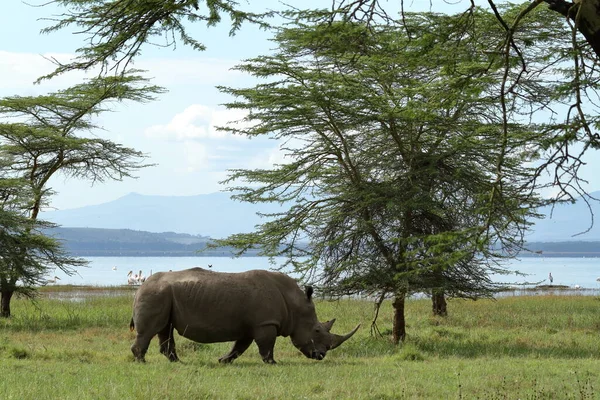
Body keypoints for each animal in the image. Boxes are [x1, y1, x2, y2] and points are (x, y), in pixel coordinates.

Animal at [129, 268, 358, 364]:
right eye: (317, 330)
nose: (321, 356)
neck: (295, 304)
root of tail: (139, 288)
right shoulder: (265, 323)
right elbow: (266, 346)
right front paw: (273, 363)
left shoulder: (252, 325)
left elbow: (239, 347)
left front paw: (223, 361)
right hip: (155, 294)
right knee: (150, 331)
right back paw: (142, 362)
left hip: (163, 296)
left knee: (165, 328)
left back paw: (177, 362)